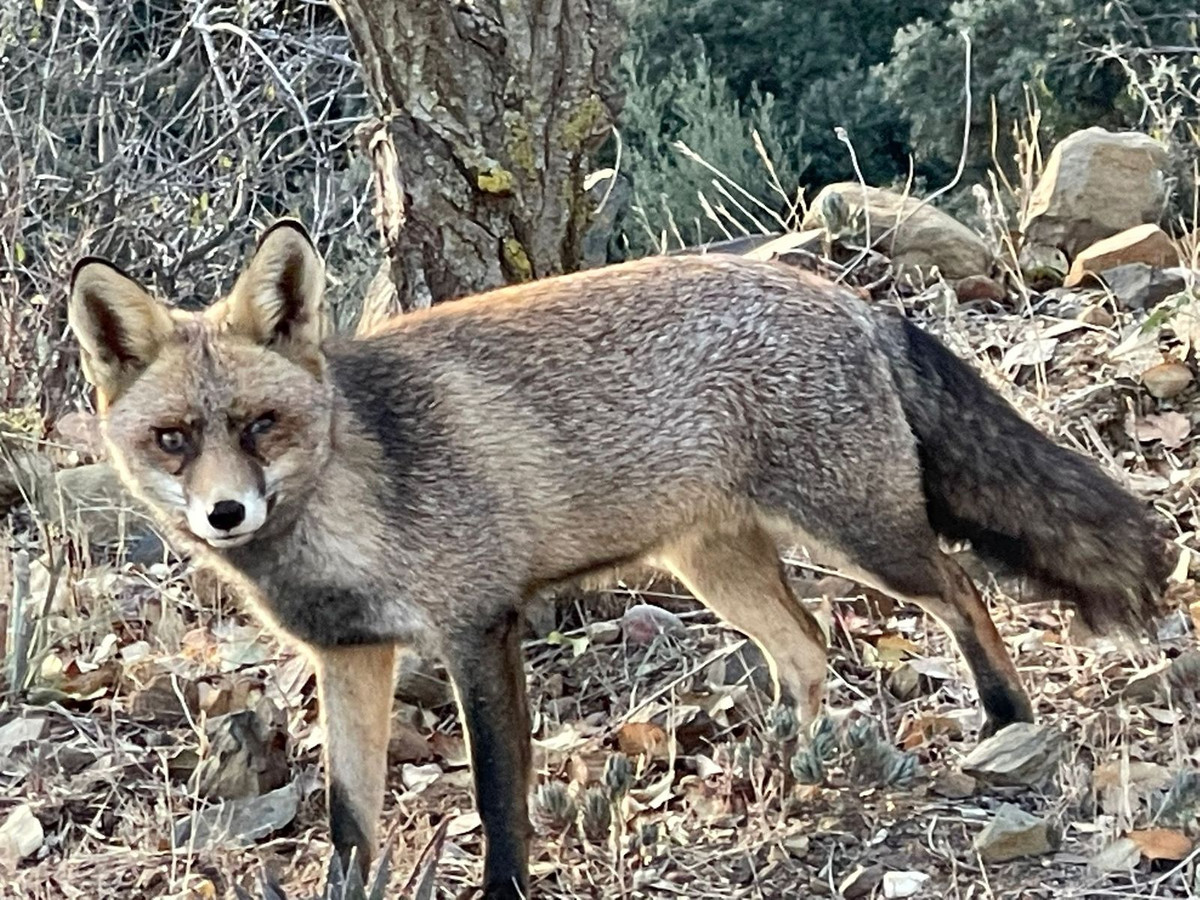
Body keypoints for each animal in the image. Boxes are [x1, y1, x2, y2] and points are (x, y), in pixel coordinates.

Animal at [68, 220, 1171, 900]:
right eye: (173, 438)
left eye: (261, 424)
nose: (224, 513)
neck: (350, 502)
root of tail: (841, 294)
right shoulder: (350, 656)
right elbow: (351, 823)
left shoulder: (478, 628)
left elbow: (497, 799)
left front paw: (507, 887)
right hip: (716, 569)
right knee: (810, 652)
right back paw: (784, 770)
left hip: (861, 536)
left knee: (960, 589)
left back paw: (1005, 721)